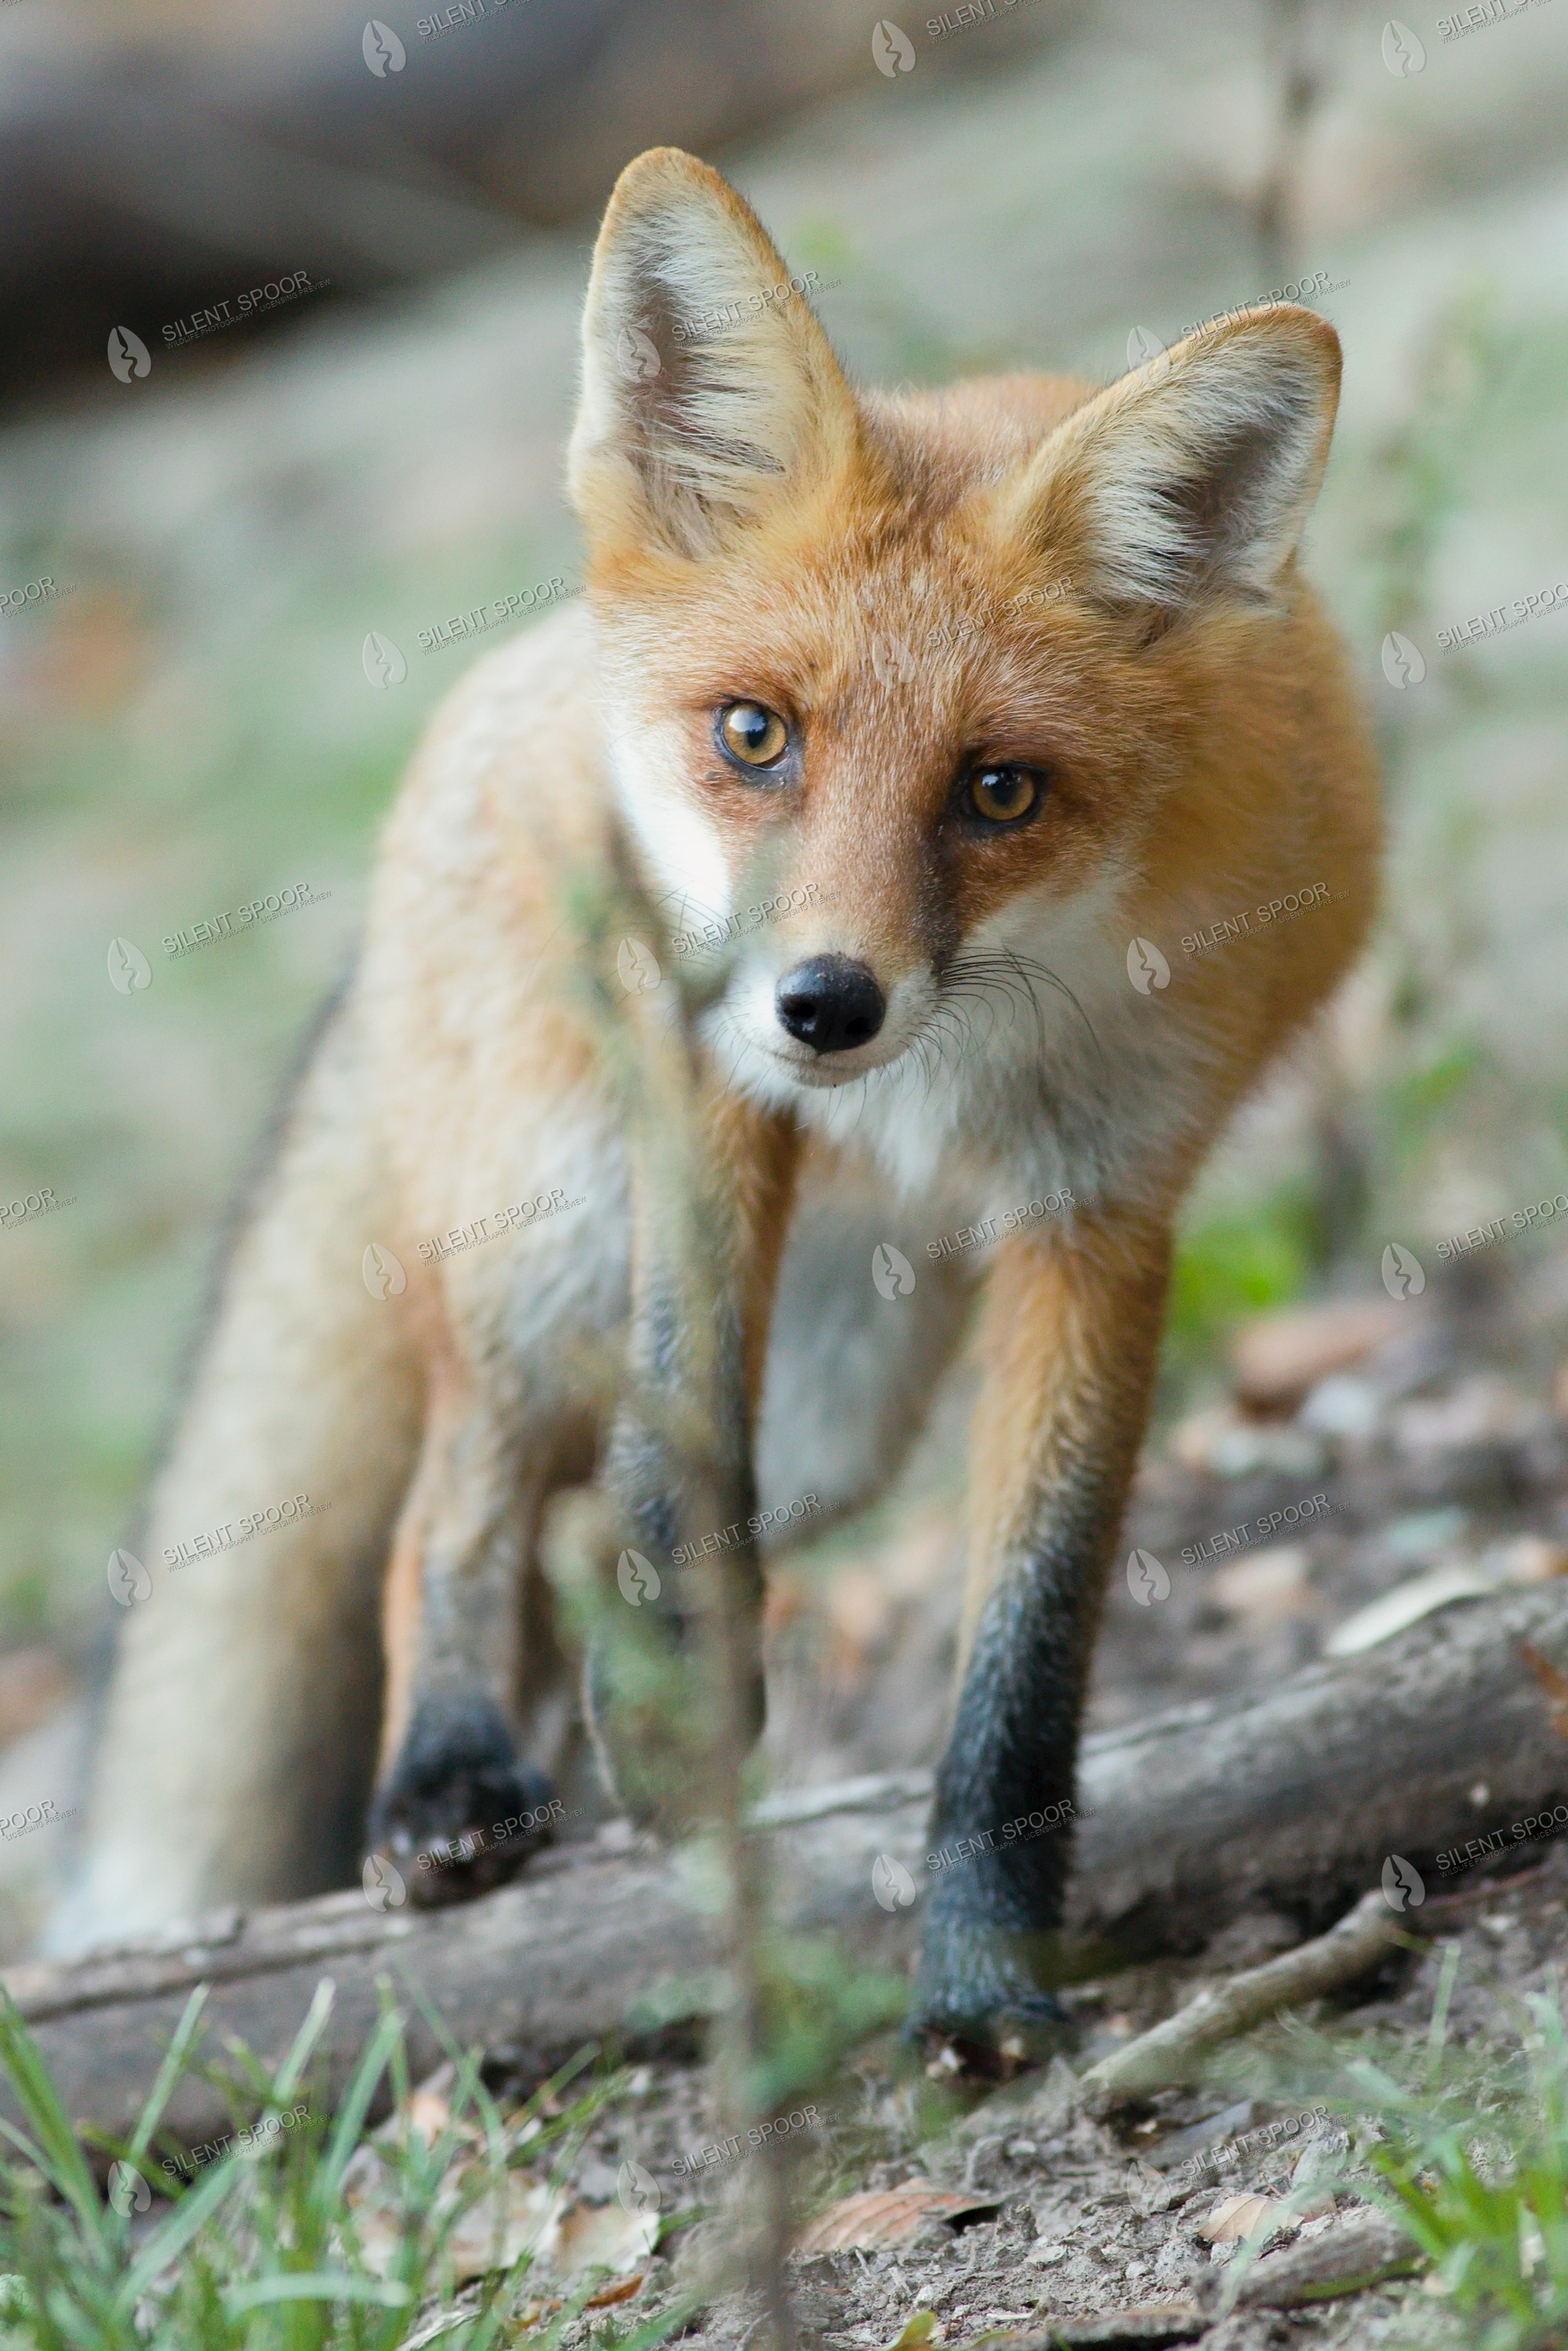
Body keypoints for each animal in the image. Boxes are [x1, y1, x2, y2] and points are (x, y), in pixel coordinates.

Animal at [53, 147, 1378, 2044]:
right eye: (758, 736)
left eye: (999, 789)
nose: (827, 1002)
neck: (935, 1087)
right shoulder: (708, 1077)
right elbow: (678, 1421)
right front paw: (678, 1691)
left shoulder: (1102, 1205)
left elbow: (1029, 1631)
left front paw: (984, 1961)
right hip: (551, 1233)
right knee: (458, 1502)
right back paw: (449, 1779)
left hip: (842, 1402)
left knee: (577, 1516)